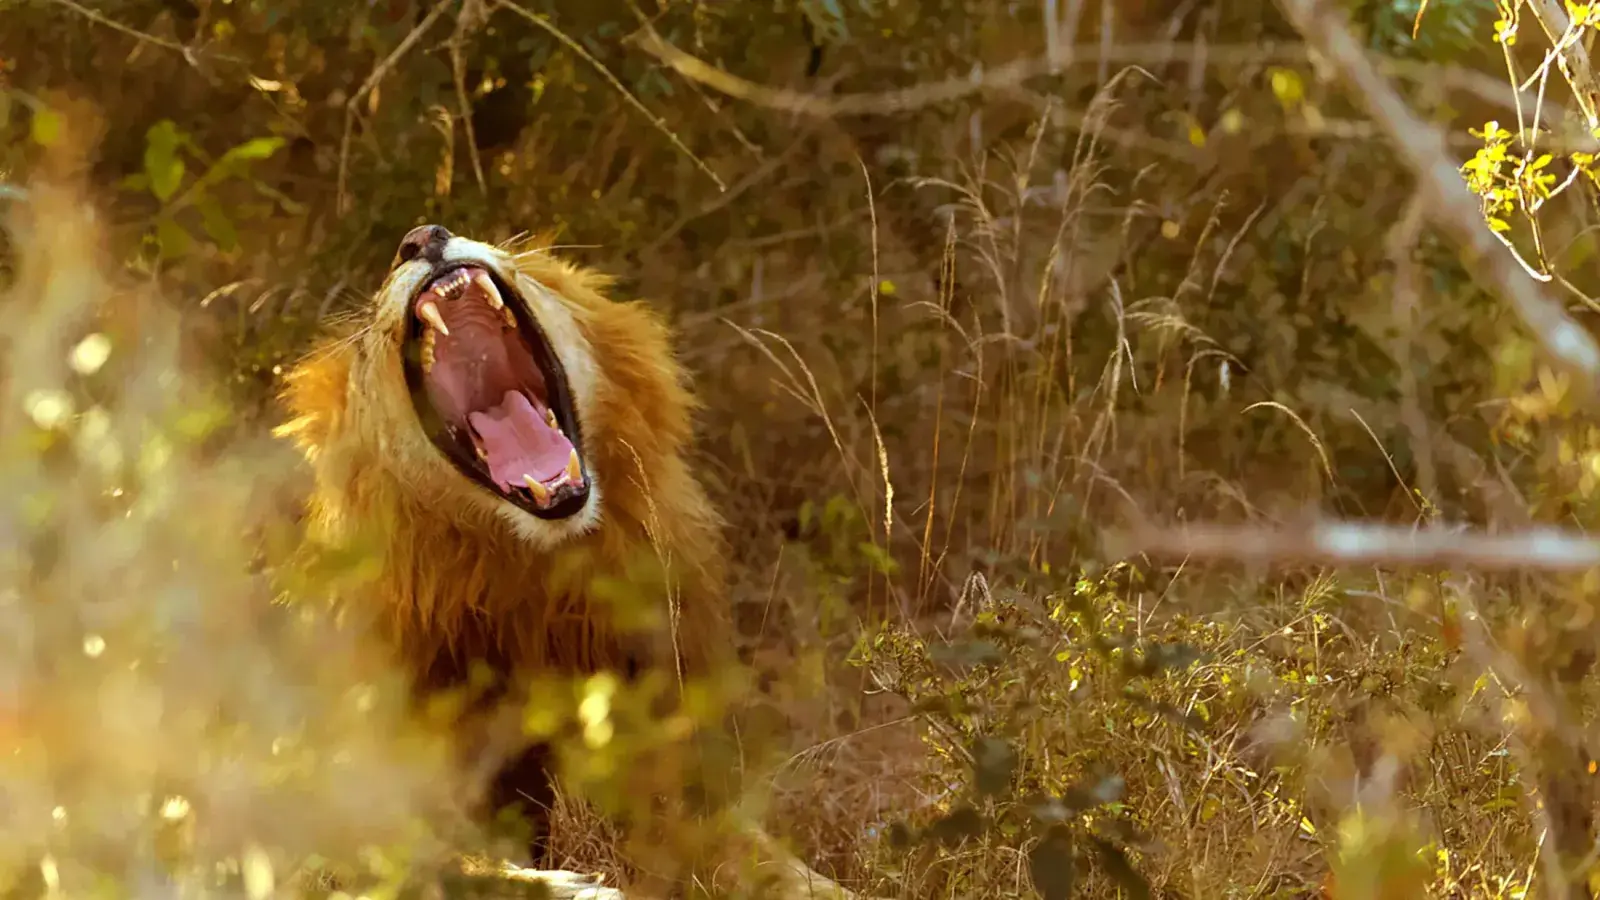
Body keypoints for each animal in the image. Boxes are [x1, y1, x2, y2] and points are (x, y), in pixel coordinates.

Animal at [273, 224, 858, 899]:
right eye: (369, 326)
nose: (421, 237)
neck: (532, 582)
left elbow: (745, 850)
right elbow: (427, 861)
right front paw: (572, 887)